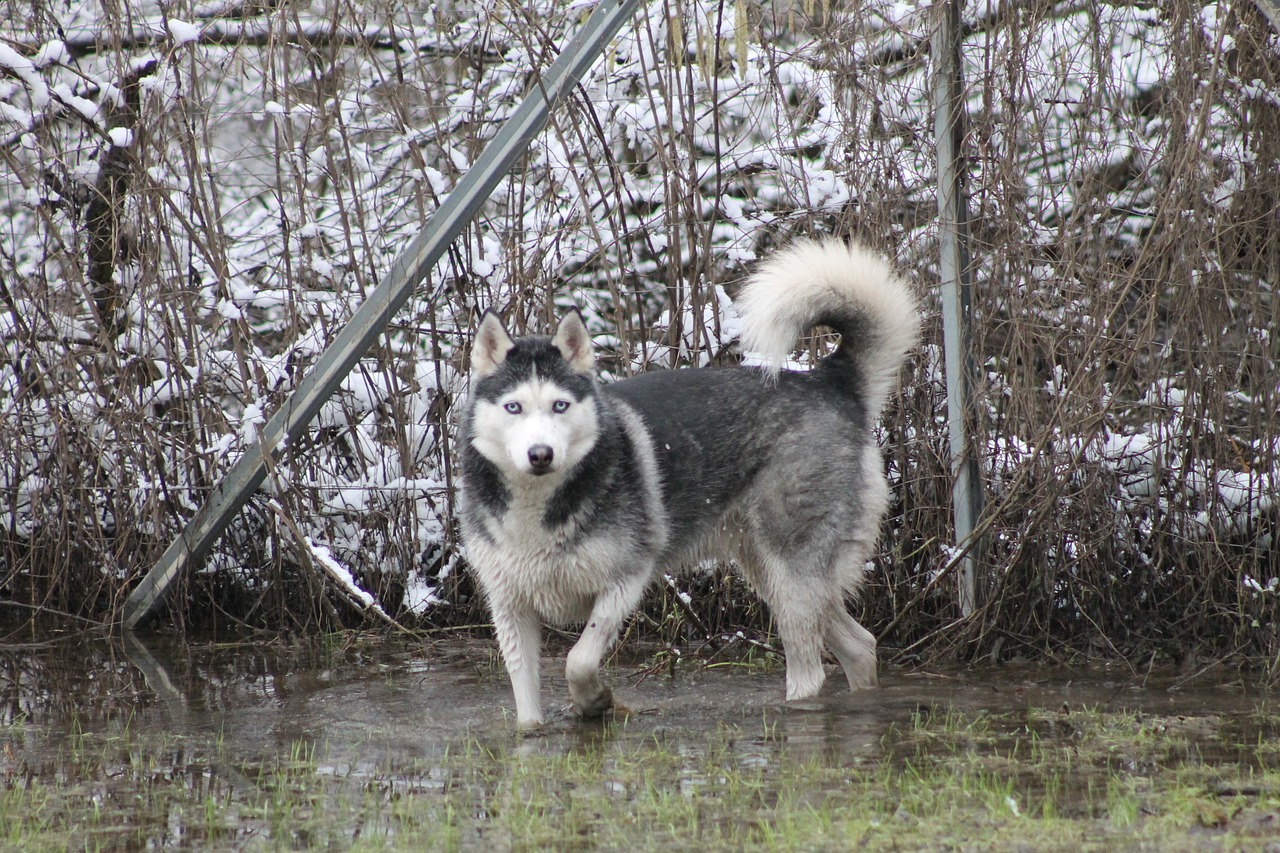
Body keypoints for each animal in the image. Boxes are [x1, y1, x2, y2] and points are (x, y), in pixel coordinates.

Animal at [460, 236, 921, 722]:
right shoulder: (510, 608)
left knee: (811, 671)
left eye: (560, 406)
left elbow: (578, 659)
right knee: (860, 644)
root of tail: (829, 381)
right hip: (775, 575)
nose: (540, 454)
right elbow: (527, 703)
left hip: (793, 571)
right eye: (513, 407)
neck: (539, 506)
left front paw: (597, 700)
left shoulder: (627, 579)